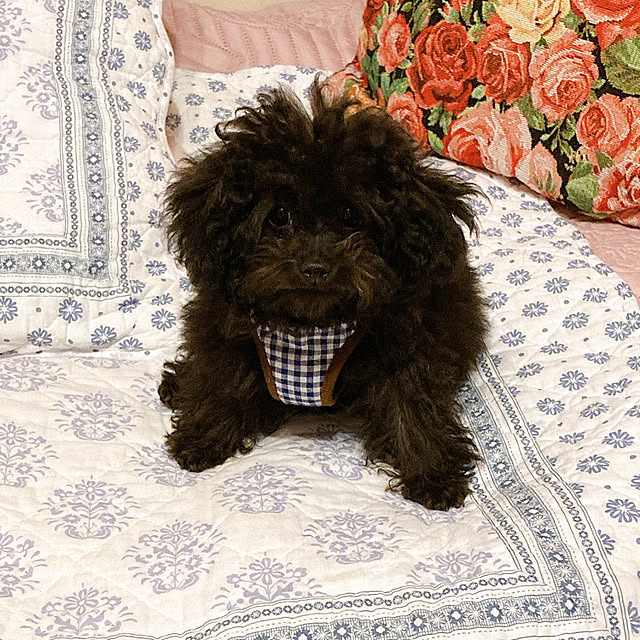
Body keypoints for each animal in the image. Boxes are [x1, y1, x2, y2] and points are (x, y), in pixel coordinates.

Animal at [158, 80, 487, 510]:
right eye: (279, 215)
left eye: (350, 215)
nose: (315, 267)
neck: (311, 323)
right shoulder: (226, 332)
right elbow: (220, 381)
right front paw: (202, 438)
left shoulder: (408, 347)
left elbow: (413, 407)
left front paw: (433, 472)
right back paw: (177, 384)